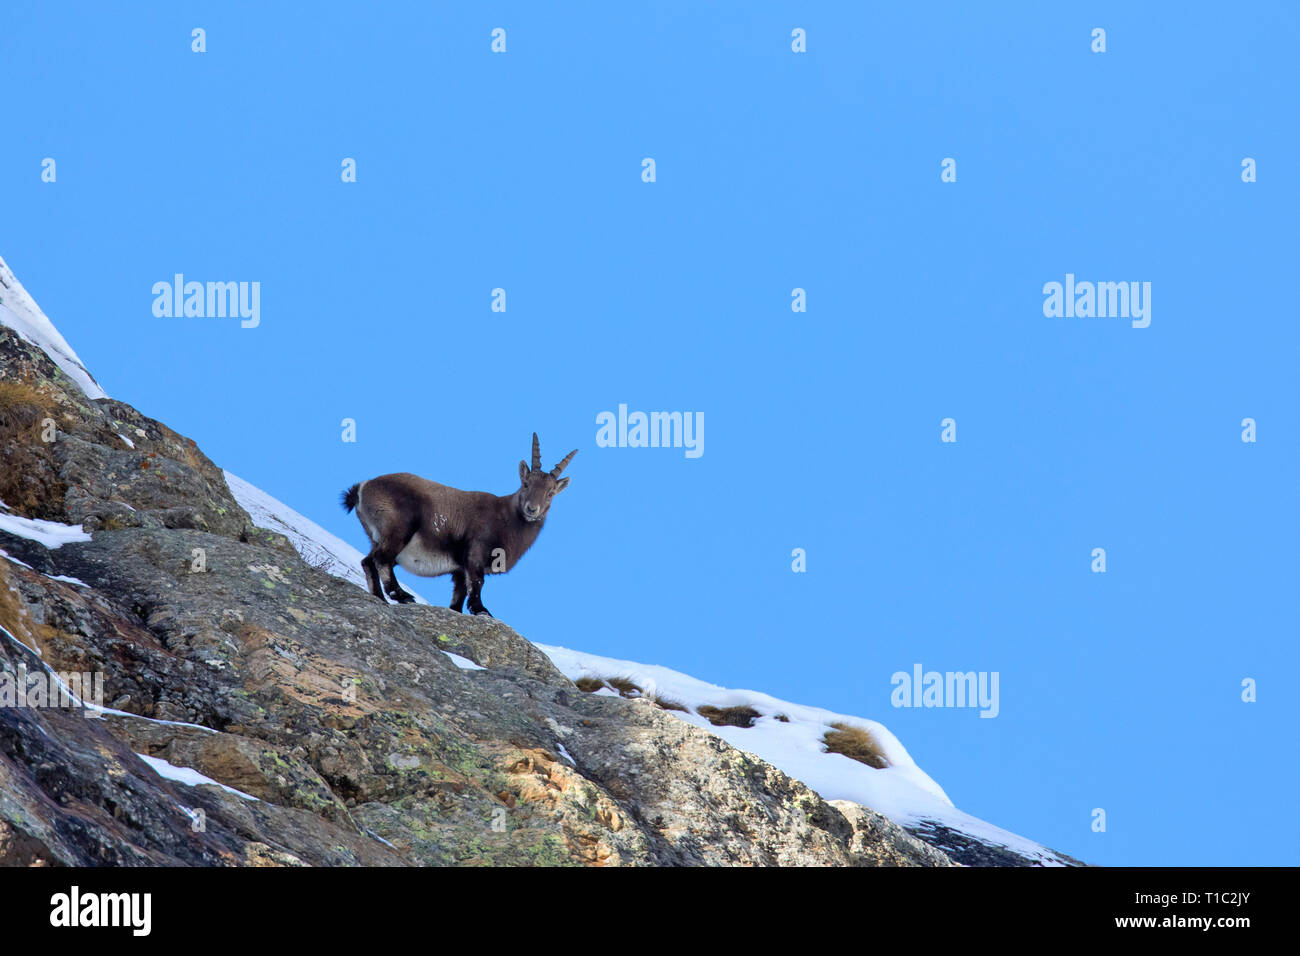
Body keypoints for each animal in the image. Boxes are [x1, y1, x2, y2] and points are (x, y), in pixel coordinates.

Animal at [341, 433, 576, 615]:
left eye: (550, 493)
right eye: (526, 484)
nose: (531, 509)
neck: (506, 518)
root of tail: (362, 488)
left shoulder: (460, 570)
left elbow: (458, 597)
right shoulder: (475, 554)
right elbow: (478, 583)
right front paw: (481, 610)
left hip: (378, 537)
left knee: (368, 561)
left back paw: (380, 598)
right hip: (399, 529)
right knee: (381, 559)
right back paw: (401, 595)